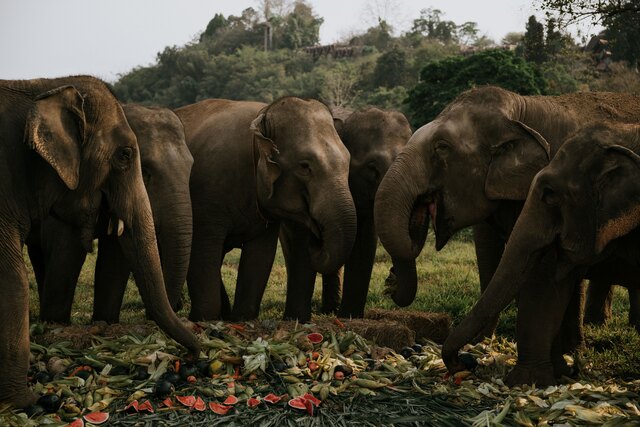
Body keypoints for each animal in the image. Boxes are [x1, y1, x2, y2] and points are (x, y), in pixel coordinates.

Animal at [27, 104, 194, 323]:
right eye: (145, 171)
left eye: (191, 167)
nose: (148, 316)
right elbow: (66, 253)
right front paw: (56, 323)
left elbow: (115, 259)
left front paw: (104, 322)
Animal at [174, 97, 357, 321]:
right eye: (304, 166)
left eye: (348, 161)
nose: (317, 238)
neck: (262, 115)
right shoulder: (208, 191)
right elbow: (203, 250)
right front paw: (202, 319)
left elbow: (260, 256)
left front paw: (241, 318)